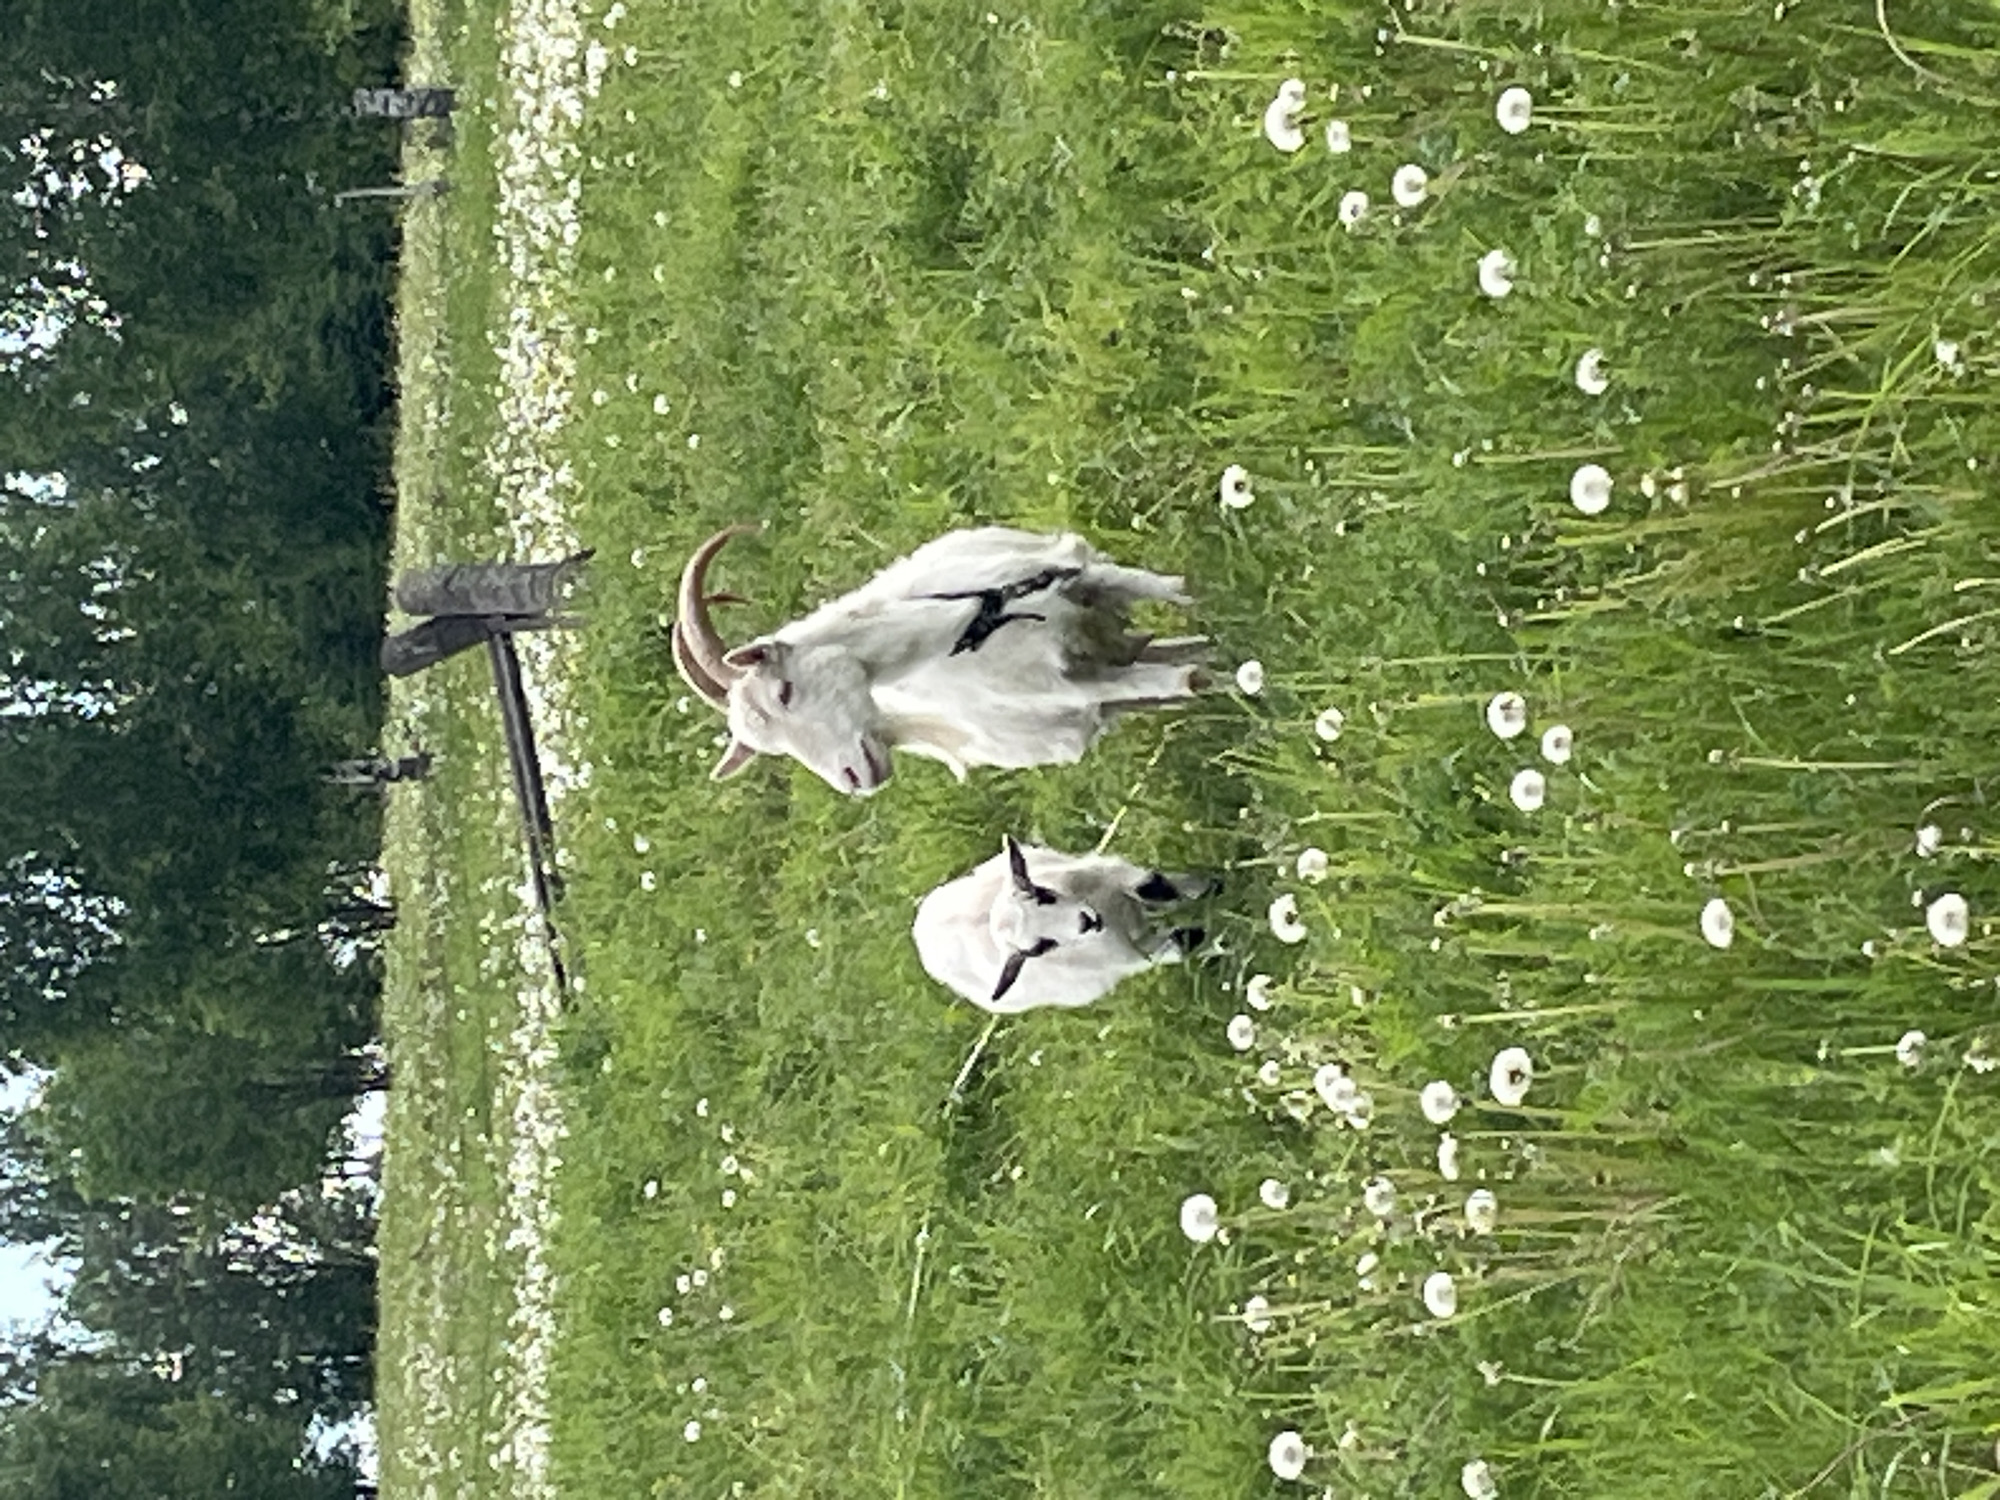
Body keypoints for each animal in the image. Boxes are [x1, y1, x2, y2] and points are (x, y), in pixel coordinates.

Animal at [671, 525, 1206, 796]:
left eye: (785, 692)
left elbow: (1175, 596)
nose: (854, 781)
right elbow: (1187, 679)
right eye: (775, 751)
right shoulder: (1073, 690)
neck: (978, 621)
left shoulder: (1082, 571)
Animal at [911, 836, 1213, 1014]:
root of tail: (920, 930)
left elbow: (1155, 884)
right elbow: (1178, 945)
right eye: (1041, 948)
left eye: (1043, 894)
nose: (1087, 922)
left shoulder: (1112, 874)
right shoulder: (1130, 957)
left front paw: (1211, 887)